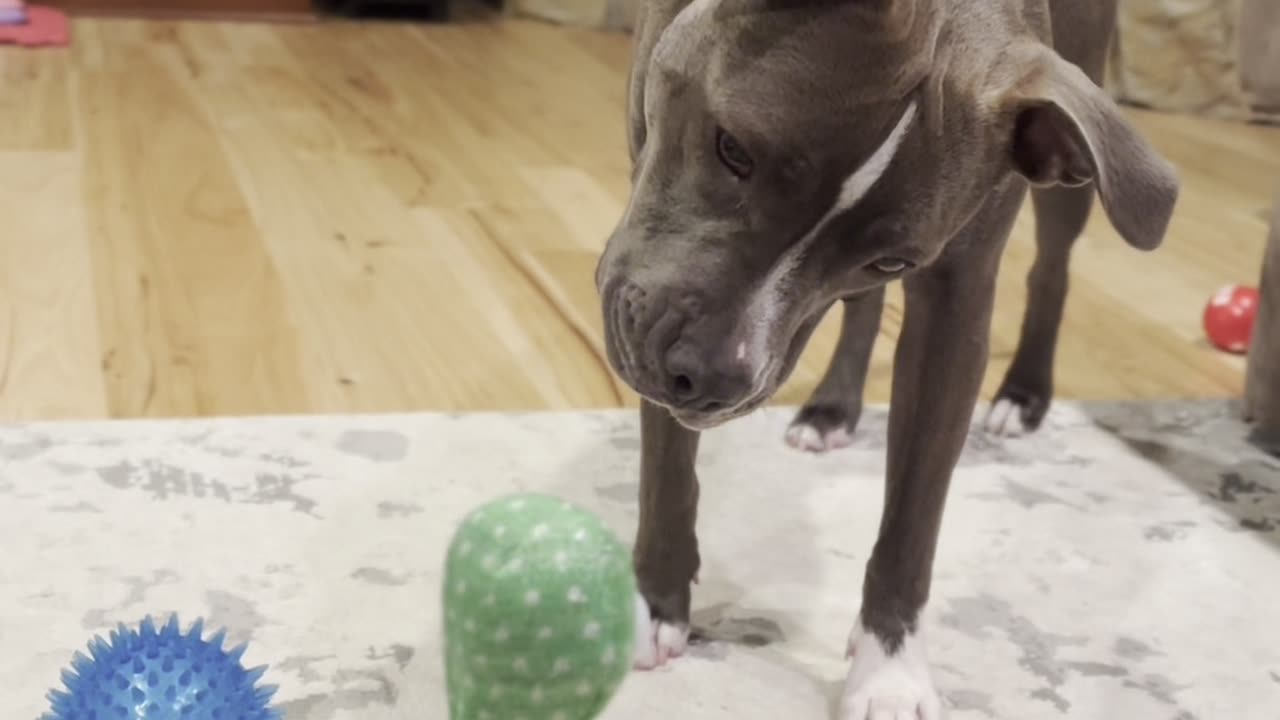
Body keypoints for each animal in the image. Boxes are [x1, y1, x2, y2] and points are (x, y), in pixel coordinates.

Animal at [596, 2, 1177, 712]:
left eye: (894, 259)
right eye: (732, 149)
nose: (710, 380)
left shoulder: (955, 303)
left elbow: (912, 520)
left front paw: (889, 673)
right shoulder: (645, 262)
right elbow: (665, 464)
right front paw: (656, 602)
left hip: (1084, 139)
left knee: (1052, 268)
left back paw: (1022, 393)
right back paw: (832, 408)